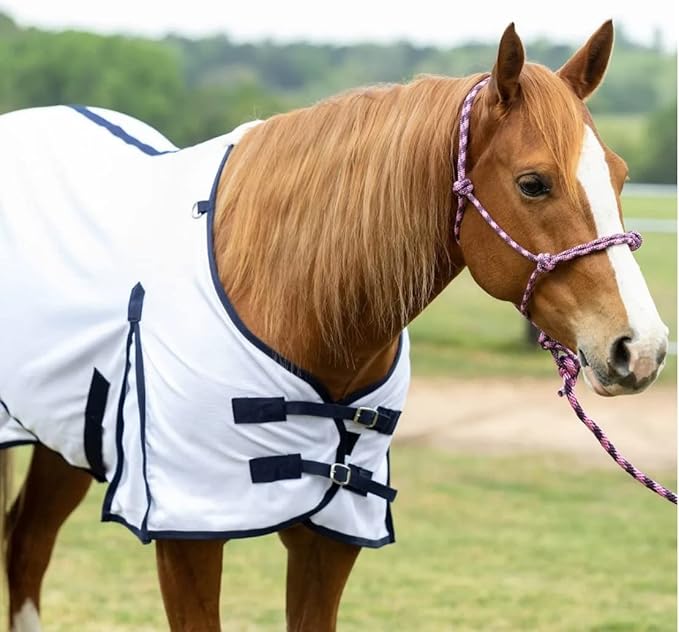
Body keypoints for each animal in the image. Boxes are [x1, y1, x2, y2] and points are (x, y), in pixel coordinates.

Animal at [0, 20, 669, 631]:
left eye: (619, 174)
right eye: (533, 183)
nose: (642, 348)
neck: (290, 297)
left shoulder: (331, 536)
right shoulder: (189, 531)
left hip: (67, 439)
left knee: (26, 543)